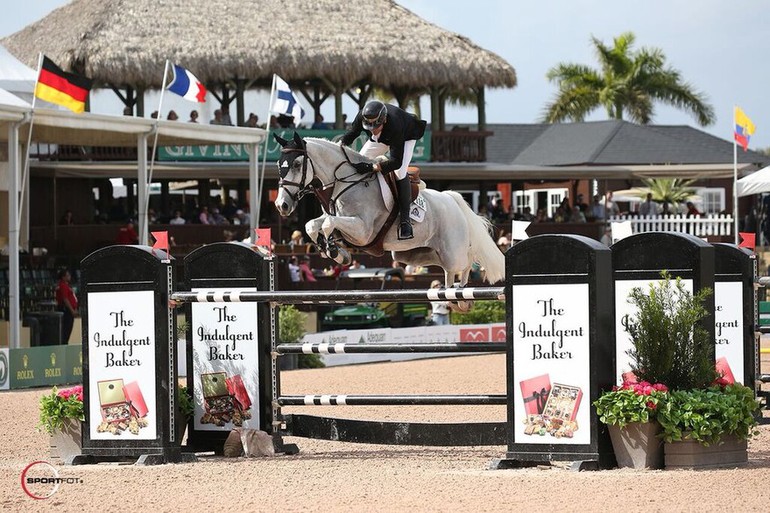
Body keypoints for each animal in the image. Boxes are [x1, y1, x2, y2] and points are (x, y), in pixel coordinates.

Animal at [272, 133, 504, 288]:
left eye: (297, 164)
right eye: (278, 164)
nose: (282, 205)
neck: (346, 182)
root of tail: (451, 198)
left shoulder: (362, 231)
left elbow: (328, 224)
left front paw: (336, 251)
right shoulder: (339, 220)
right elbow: (312, 225)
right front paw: (334, 252)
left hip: (452, 250)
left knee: (467, 260)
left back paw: (461, 291)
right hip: (417, 255)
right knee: (449, 270)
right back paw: (455, 295)